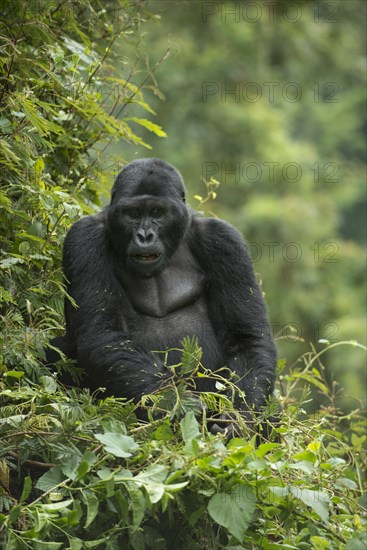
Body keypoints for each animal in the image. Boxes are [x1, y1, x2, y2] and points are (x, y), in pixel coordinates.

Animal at [49, 158, 278, 436]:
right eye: (132, 214)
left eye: (157, 212)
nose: (145, 236)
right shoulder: (84, 237)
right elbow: (102, 334)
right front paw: (176, 403)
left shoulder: (224, 240)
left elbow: (246, 337)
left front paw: (238, 418)